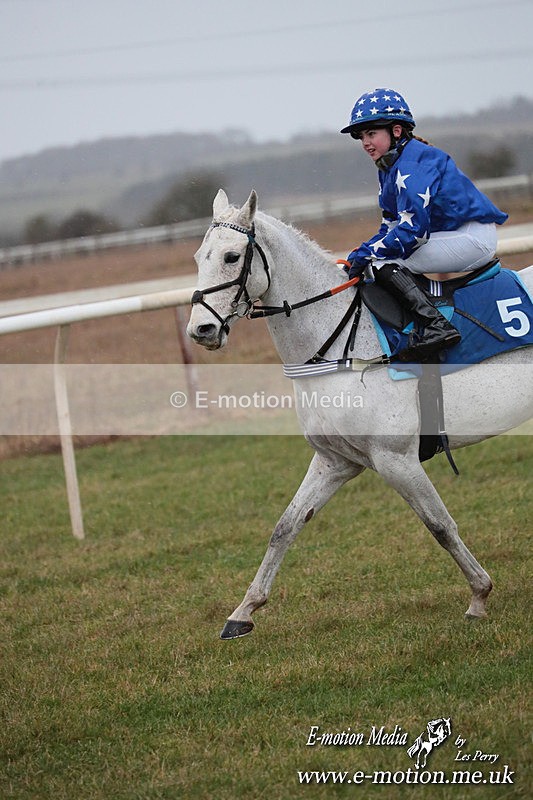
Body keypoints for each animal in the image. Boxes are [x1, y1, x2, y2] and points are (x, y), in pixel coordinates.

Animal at [187, 189, 533, 639]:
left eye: (231, 257)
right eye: (198, 257)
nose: (201, 331)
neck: (338, 345)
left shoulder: (395, 459)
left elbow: (440, 525)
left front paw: (479, 594)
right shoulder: (335, 460)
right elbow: (285, 527)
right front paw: (243, 612)